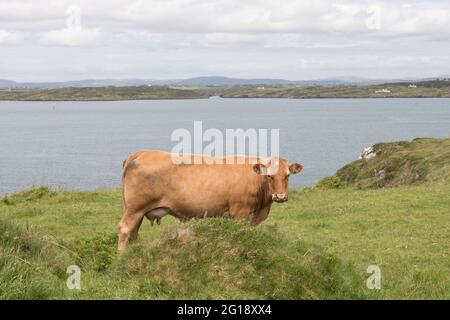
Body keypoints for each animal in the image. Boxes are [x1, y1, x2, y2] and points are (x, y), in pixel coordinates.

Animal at [118, 151, 302, 251]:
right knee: (125, 229)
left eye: (288, 175)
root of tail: (141, 153)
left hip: (137, 210)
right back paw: (122, 257)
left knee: (134, 231)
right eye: (269, 176)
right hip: (135, 208)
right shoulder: (240, 212)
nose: (280, 196)